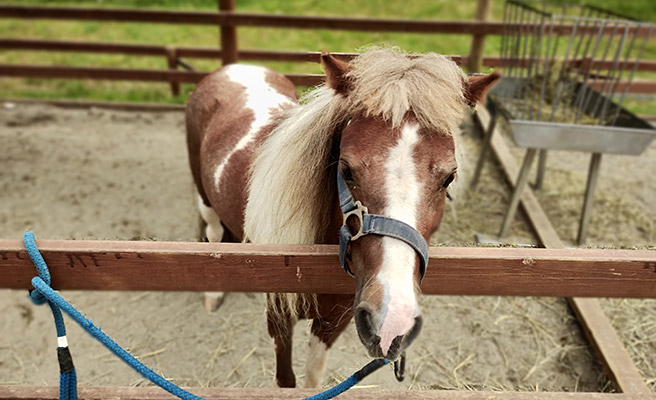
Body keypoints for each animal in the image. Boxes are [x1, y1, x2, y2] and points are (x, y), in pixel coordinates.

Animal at [184, 47, 498, 388]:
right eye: (346, 169)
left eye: (449, 177)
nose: (392, 320)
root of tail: (235, 68)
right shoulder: (279, 318)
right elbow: (286, 381)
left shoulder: (337, 319)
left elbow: (313, 376)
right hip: (204, 197)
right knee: (213, 233)